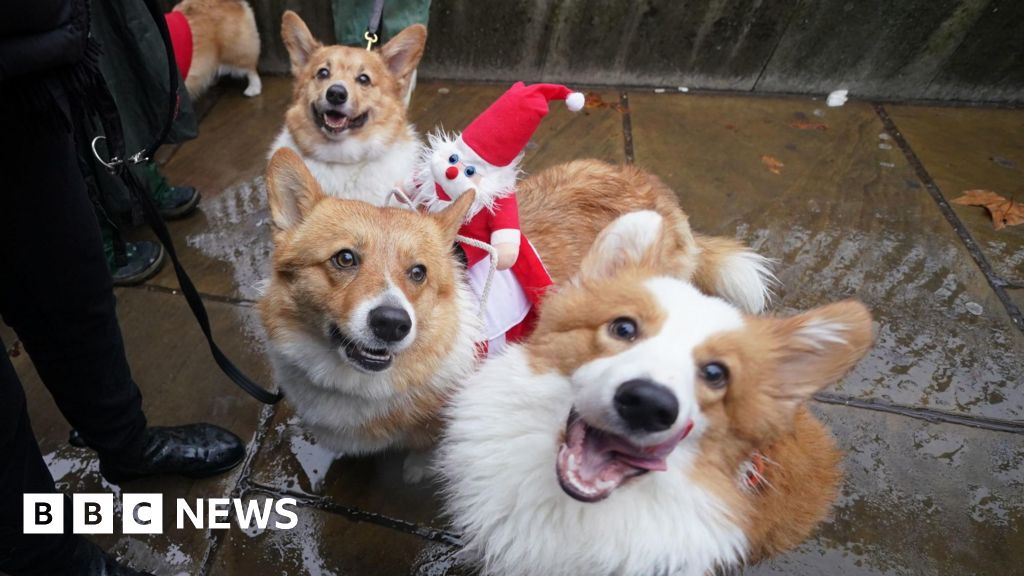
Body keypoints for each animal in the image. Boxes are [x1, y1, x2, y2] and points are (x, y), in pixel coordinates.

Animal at [258, 148, 774, 475]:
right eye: (344, 258)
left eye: (418, 272)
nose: (393, 324)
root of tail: (654, 187)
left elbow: (426, 449)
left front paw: (418, 470)